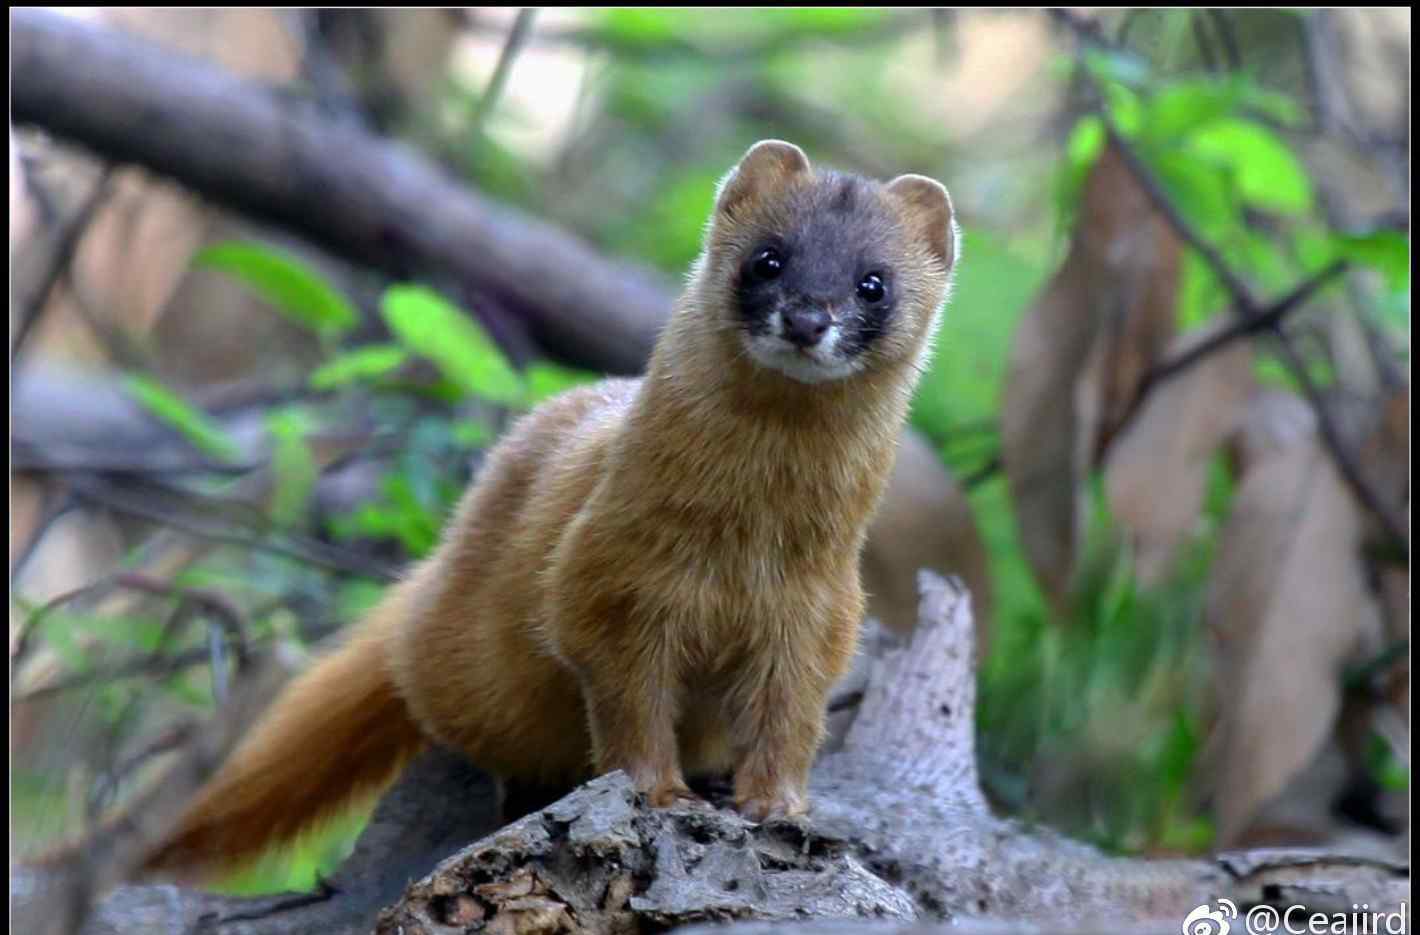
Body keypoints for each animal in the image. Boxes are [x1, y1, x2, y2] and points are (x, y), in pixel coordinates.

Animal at [141, 139, 954, 875]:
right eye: (768, 258)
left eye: (874, 283)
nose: (809, 318)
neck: (742, 544)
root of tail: (432, 580)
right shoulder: (609, 581)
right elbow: (628, 703)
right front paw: (662, 794)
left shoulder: (818, 614)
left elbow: (791, 716)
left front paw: (776, 805)